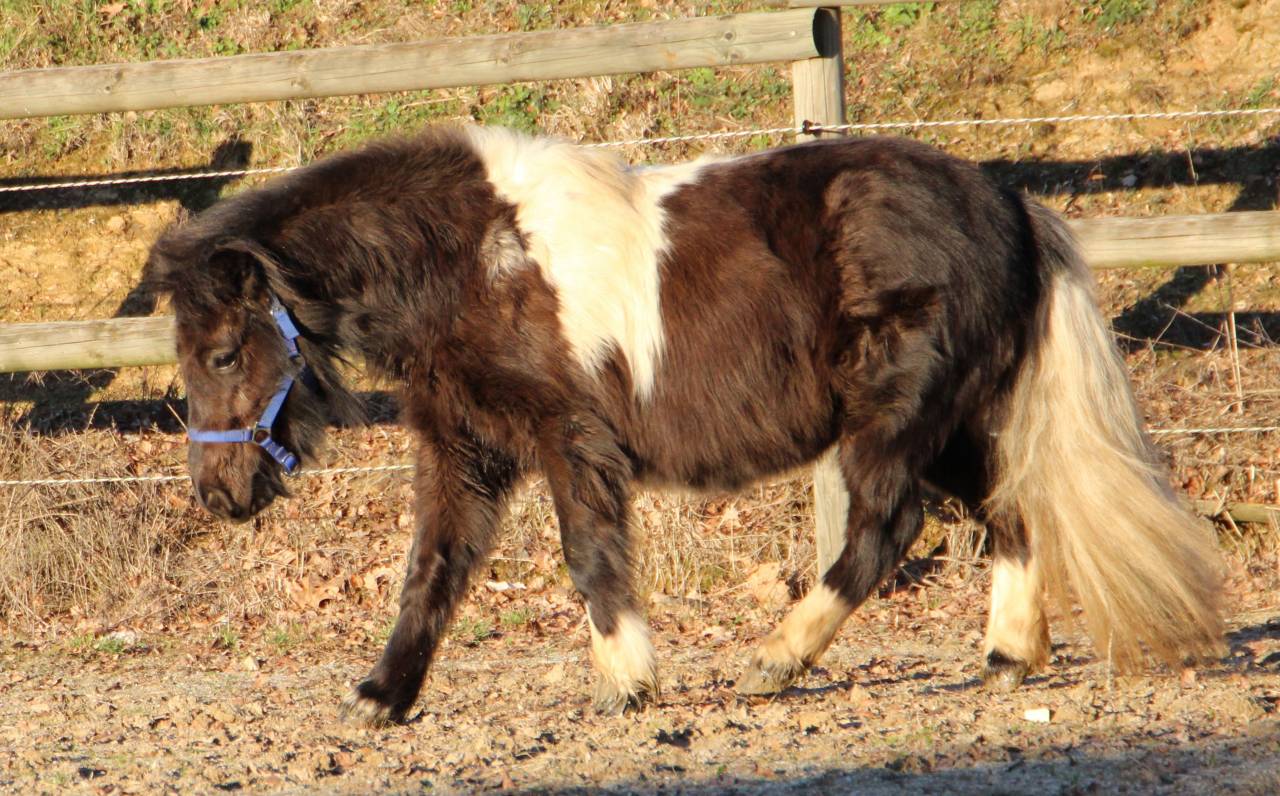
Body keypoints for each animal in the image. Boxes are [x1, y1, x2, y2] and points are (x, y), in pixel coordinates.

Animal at [145, 125, 1224, 726]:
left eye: (224, 353)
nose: (218, 494)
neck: (470, 257)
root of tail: (1005, 200)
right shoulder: (466, 448)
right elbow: (434, 571)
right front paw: (380, 697)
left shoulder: (569, 437)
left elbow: (586, 557)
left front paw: (628, 683)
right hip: (952, 422)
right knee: (1008, 510)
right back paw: (1005, 659)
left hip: (897, 416)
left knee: (885, 528)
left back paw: (776, 661)